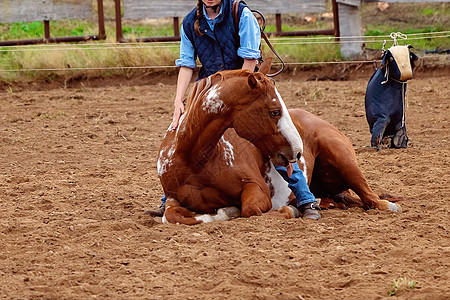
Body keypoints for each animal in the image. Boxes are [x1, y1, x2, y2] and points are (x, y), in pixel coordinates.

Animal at [156, 59, 402, 225]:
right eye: (274, 111)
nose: (298, 151)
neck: (195, 158)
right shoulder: (173, 198)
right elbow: (171, 215)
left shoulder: (256, 188)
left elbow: (250, 210)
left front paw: (289, 211)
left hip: (343, 158)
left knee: (370, 197)